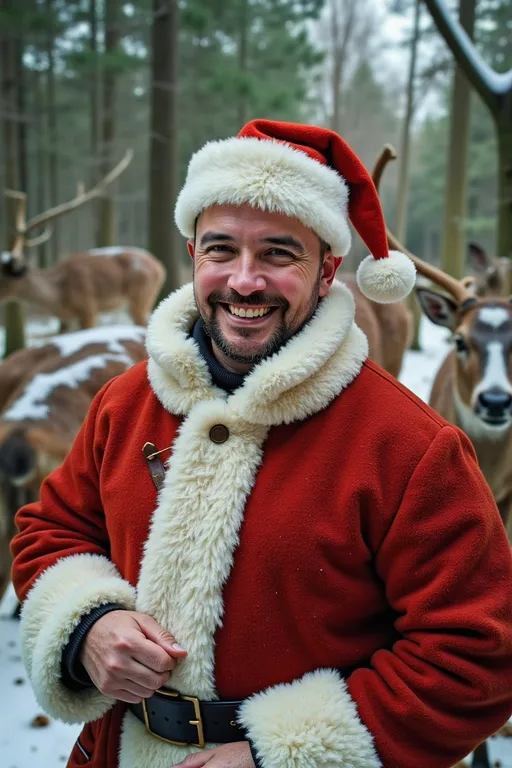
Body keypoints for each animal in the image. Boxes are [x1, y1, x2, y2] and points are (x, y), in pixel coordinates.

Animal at [2, 151, 165, 330]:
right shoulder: (65, 321)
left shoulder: (88, 309)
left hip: (141, 297)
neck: (59, 298)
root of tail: (160, 268)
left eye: (5, 273)